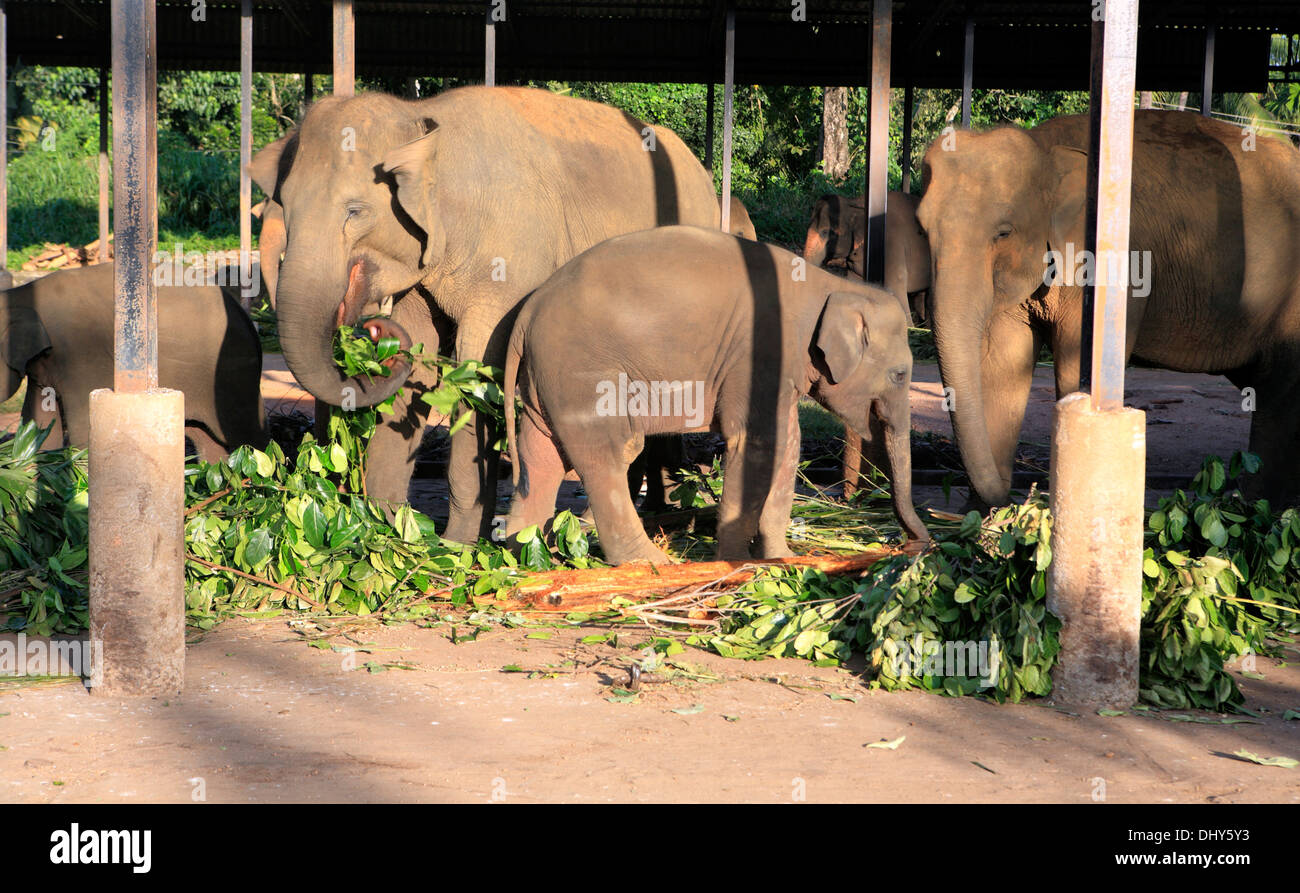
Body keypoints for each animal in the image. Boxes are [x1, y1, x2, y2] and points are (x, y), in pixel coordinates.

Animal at [0, 259, 269, 457]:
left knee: (250, 436)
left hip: (233, 374)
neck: (22, 294)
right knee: (206, 440)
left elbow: (83, 428)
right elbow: (39, 425)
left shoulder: (83, 354)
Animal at [249, 87, 722, 540]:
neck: (423, 121)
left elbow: (477, 367)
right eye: (285, 205)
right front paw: (385, 531)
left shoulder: (509, 255)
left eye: (354, 211)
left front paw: (456, 544)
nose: (372, 328)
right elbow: (421, 362)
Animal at [501, 222, 930, 566]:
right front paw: (737, 561)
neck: (833, 287)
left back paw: (529, 556)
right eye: (899, 374)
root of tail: (528, 311)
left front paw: (781, 558)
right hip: (581, 372)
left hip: (546, 380)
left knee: (540, 456)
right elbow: (756, 442)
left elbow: (788, 444)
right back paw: (651, 564)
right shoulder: (759, 354)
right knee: (611, 453)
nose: (916, 546)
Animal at [915, 109, 1300, 509]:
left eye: (1003, 233)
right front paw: (980, 519)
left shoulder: (1116, 265)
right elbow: (1002, 365)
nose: (1016, 491)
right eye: (921, 229)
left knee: (1280, 391)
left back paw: (1257, 510)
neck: (1046, 150)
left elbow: (1076, 368)